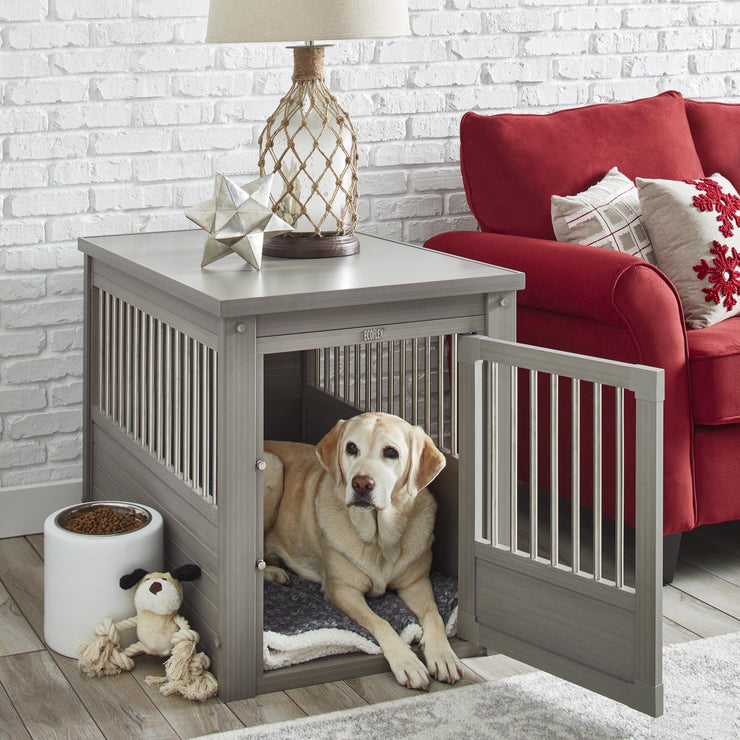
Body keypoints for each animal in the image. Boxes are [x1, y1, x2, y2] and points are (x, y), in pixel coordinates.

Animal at [264, 414, 466, 692]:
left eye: (391, 452)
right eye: (351, 448)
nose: (361, 483)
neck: (379, 539)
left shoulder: (416, 583)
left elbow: (434, 615)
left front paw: (443, 655)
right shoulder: (343, 590)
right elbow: (381, 622)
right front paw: (407, 662)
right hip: (272, 467)